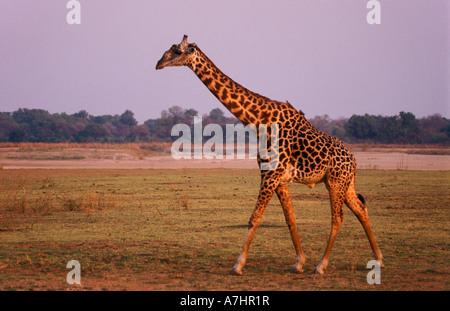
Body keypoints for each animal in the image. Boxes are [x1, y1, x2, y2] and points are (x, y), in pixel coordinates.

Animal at [156, 35, 384, 276]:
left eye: (177, 51)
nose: (159, 63)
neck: (258, 120)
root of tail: (354, 161)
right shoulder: (279, 179)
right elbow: (290, 219)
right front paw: (299, 262)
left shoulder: (269, 175)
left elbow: (254, 218)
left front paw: (238, 265)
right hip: (346, 183)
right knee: (360, 209)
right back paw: (378, 259)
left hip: (335, 182)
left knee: (338, 218)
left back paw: (321, 265)